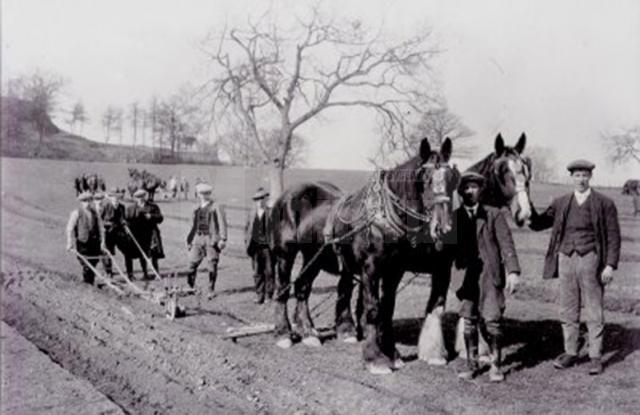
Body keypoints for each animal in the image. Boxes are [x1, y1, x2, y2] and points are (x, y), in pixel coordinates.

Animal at [270, 138, 460, 376]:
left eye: (452, 178)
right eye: (424, 179)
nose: (444, 228)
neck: (384, 216)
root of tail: (287, 195)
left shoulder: (394, 271)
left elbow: (387, 309)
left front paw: (392, 354)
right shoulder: (371, 269)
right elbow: (372, 310)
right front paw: (375, 358)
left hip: (314, 256)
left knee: (303, 287)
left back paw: (308, 333)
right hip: (285, 254)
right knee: (282, 289)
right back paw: (283, 334)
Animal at [418, 132, 532, 364]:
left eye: (526, 169)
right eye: (502, 170)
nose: (524, 213)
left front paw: (474, 349)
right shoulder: (441, 269)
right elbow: (436, 306)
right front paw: (433, 352)